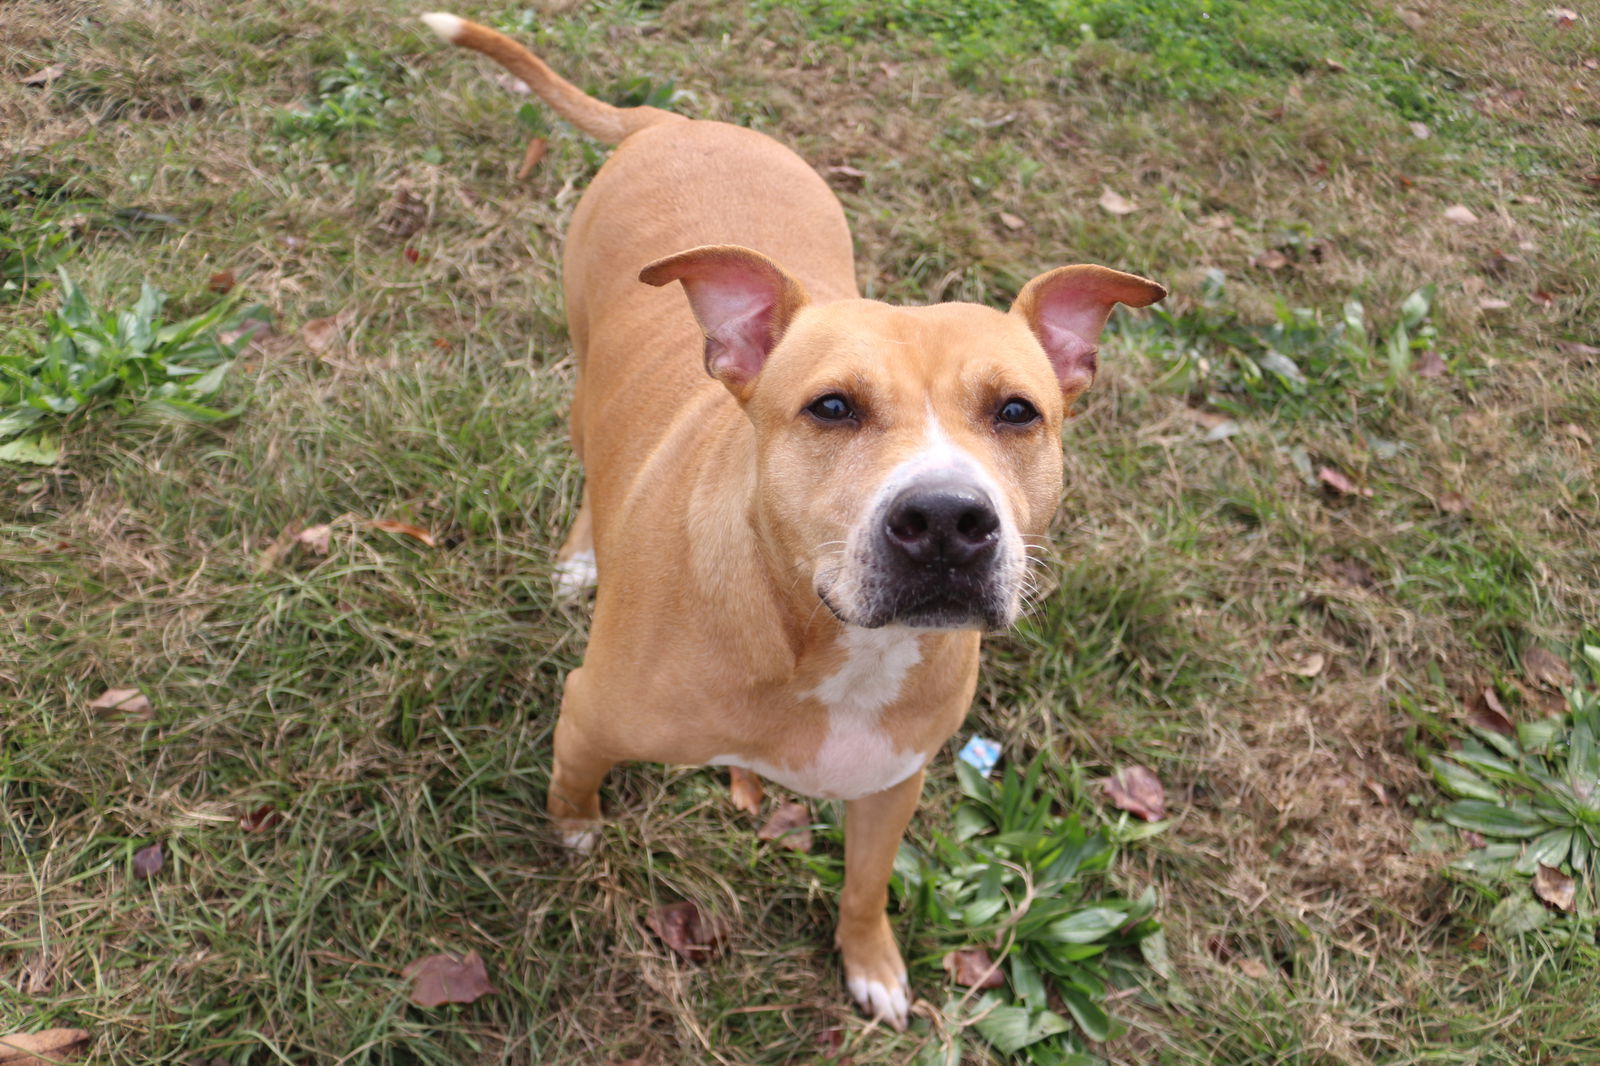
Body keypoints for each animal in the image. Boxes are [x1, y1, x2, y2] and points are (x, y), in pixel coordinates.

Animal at [419, 12, 1158, 1030]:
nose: (945, 521)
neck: (825, 642)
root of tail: (676, 121)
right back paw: (580, 561)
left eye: (1017, 412)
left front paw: (872, 962)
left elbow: (865, 885)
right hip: (578, 377)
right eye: (831, 408)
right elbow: (574, 788)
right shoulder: (589, 715)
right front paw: (574, 837)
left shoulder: (892, 781)